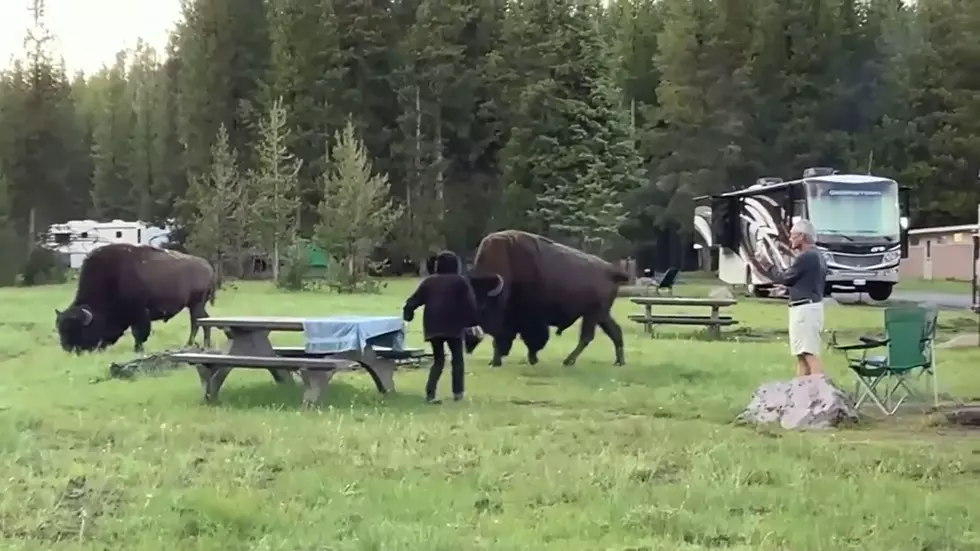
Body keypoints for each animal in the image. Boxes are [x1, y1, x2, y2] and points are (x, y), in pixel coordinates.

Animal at [58, 245, 219, 354]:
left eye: (78, 330)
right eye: (61, 330)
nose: (68, 348)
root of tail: (208, 267)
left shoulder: (140, 315)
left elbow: (139, 334)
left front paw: (138, 350)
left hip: (196, 304)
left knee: (196, 322)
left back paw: (189, 344)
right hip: (196, 306)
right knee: (204, 321)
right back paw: (205, 344)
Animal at [466, 229, 628, 366]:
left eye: (482, 306)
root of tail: (610, 270)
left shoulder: (528, 318)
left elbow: (531, 339)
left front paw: (530, 359)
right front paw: (496, 361)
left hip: (593, 315)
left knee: (587, 337)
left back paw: (568, 361)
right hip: (601, 315)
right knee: (614, 331)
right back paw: (618, 362)